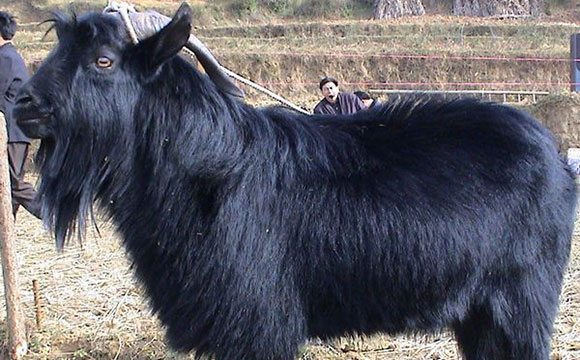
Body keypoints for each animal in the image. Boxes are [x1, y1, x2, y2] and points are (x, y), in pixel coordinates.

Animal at [12, 3, 576, 360]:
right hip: (481, 313)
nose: (23, 103)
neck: (207, 170)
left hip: (523, 301)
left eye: (103, 60)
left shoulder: (260, 324)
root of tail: (556, 156)